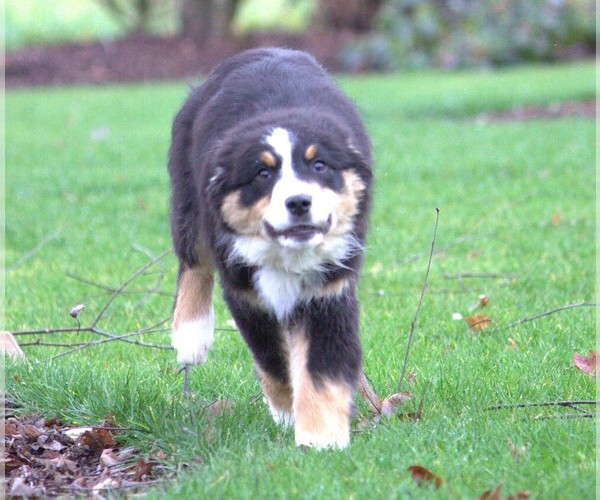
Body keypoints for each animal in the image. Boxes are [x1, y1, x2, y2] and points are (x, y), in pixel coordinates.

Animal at [168, 47, 370, 450]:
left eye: (319, 165)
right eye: (263, 174)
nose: (299, 202)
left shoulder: (328, 290)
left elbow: (321, 368)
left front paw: (321, 439)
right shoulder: (247, 294)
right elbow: (273, 359)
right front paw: (287, 413)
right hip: (190, 195)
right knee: (193, 258)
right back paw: (190, 336)